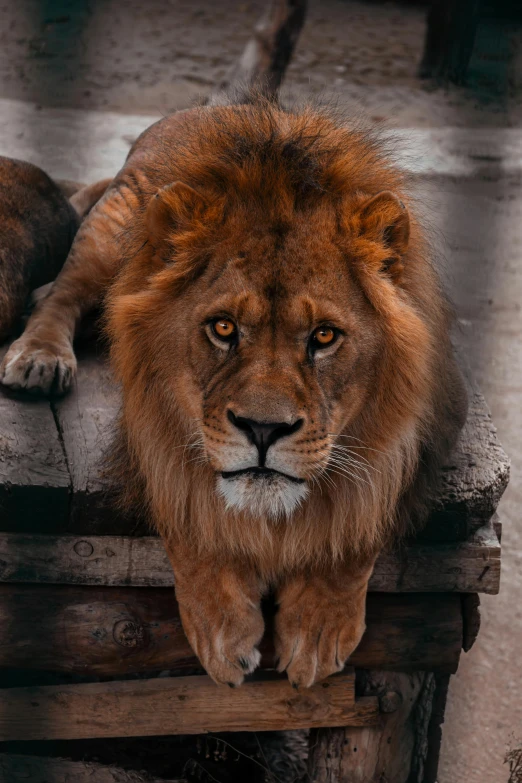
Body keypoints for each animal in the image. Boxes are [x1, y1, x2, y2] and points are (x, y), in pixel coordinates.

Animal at [0, 96, 464, 688]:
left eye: (324, 336)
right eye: (223, 328)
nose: (263, 430)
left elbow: (360, 518)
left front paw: (317, 628)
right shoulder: (150, 425)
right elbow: (189, 512)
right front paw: (224, 628)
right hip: (114, 227)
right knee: (61, 293)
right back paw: (40, 356)